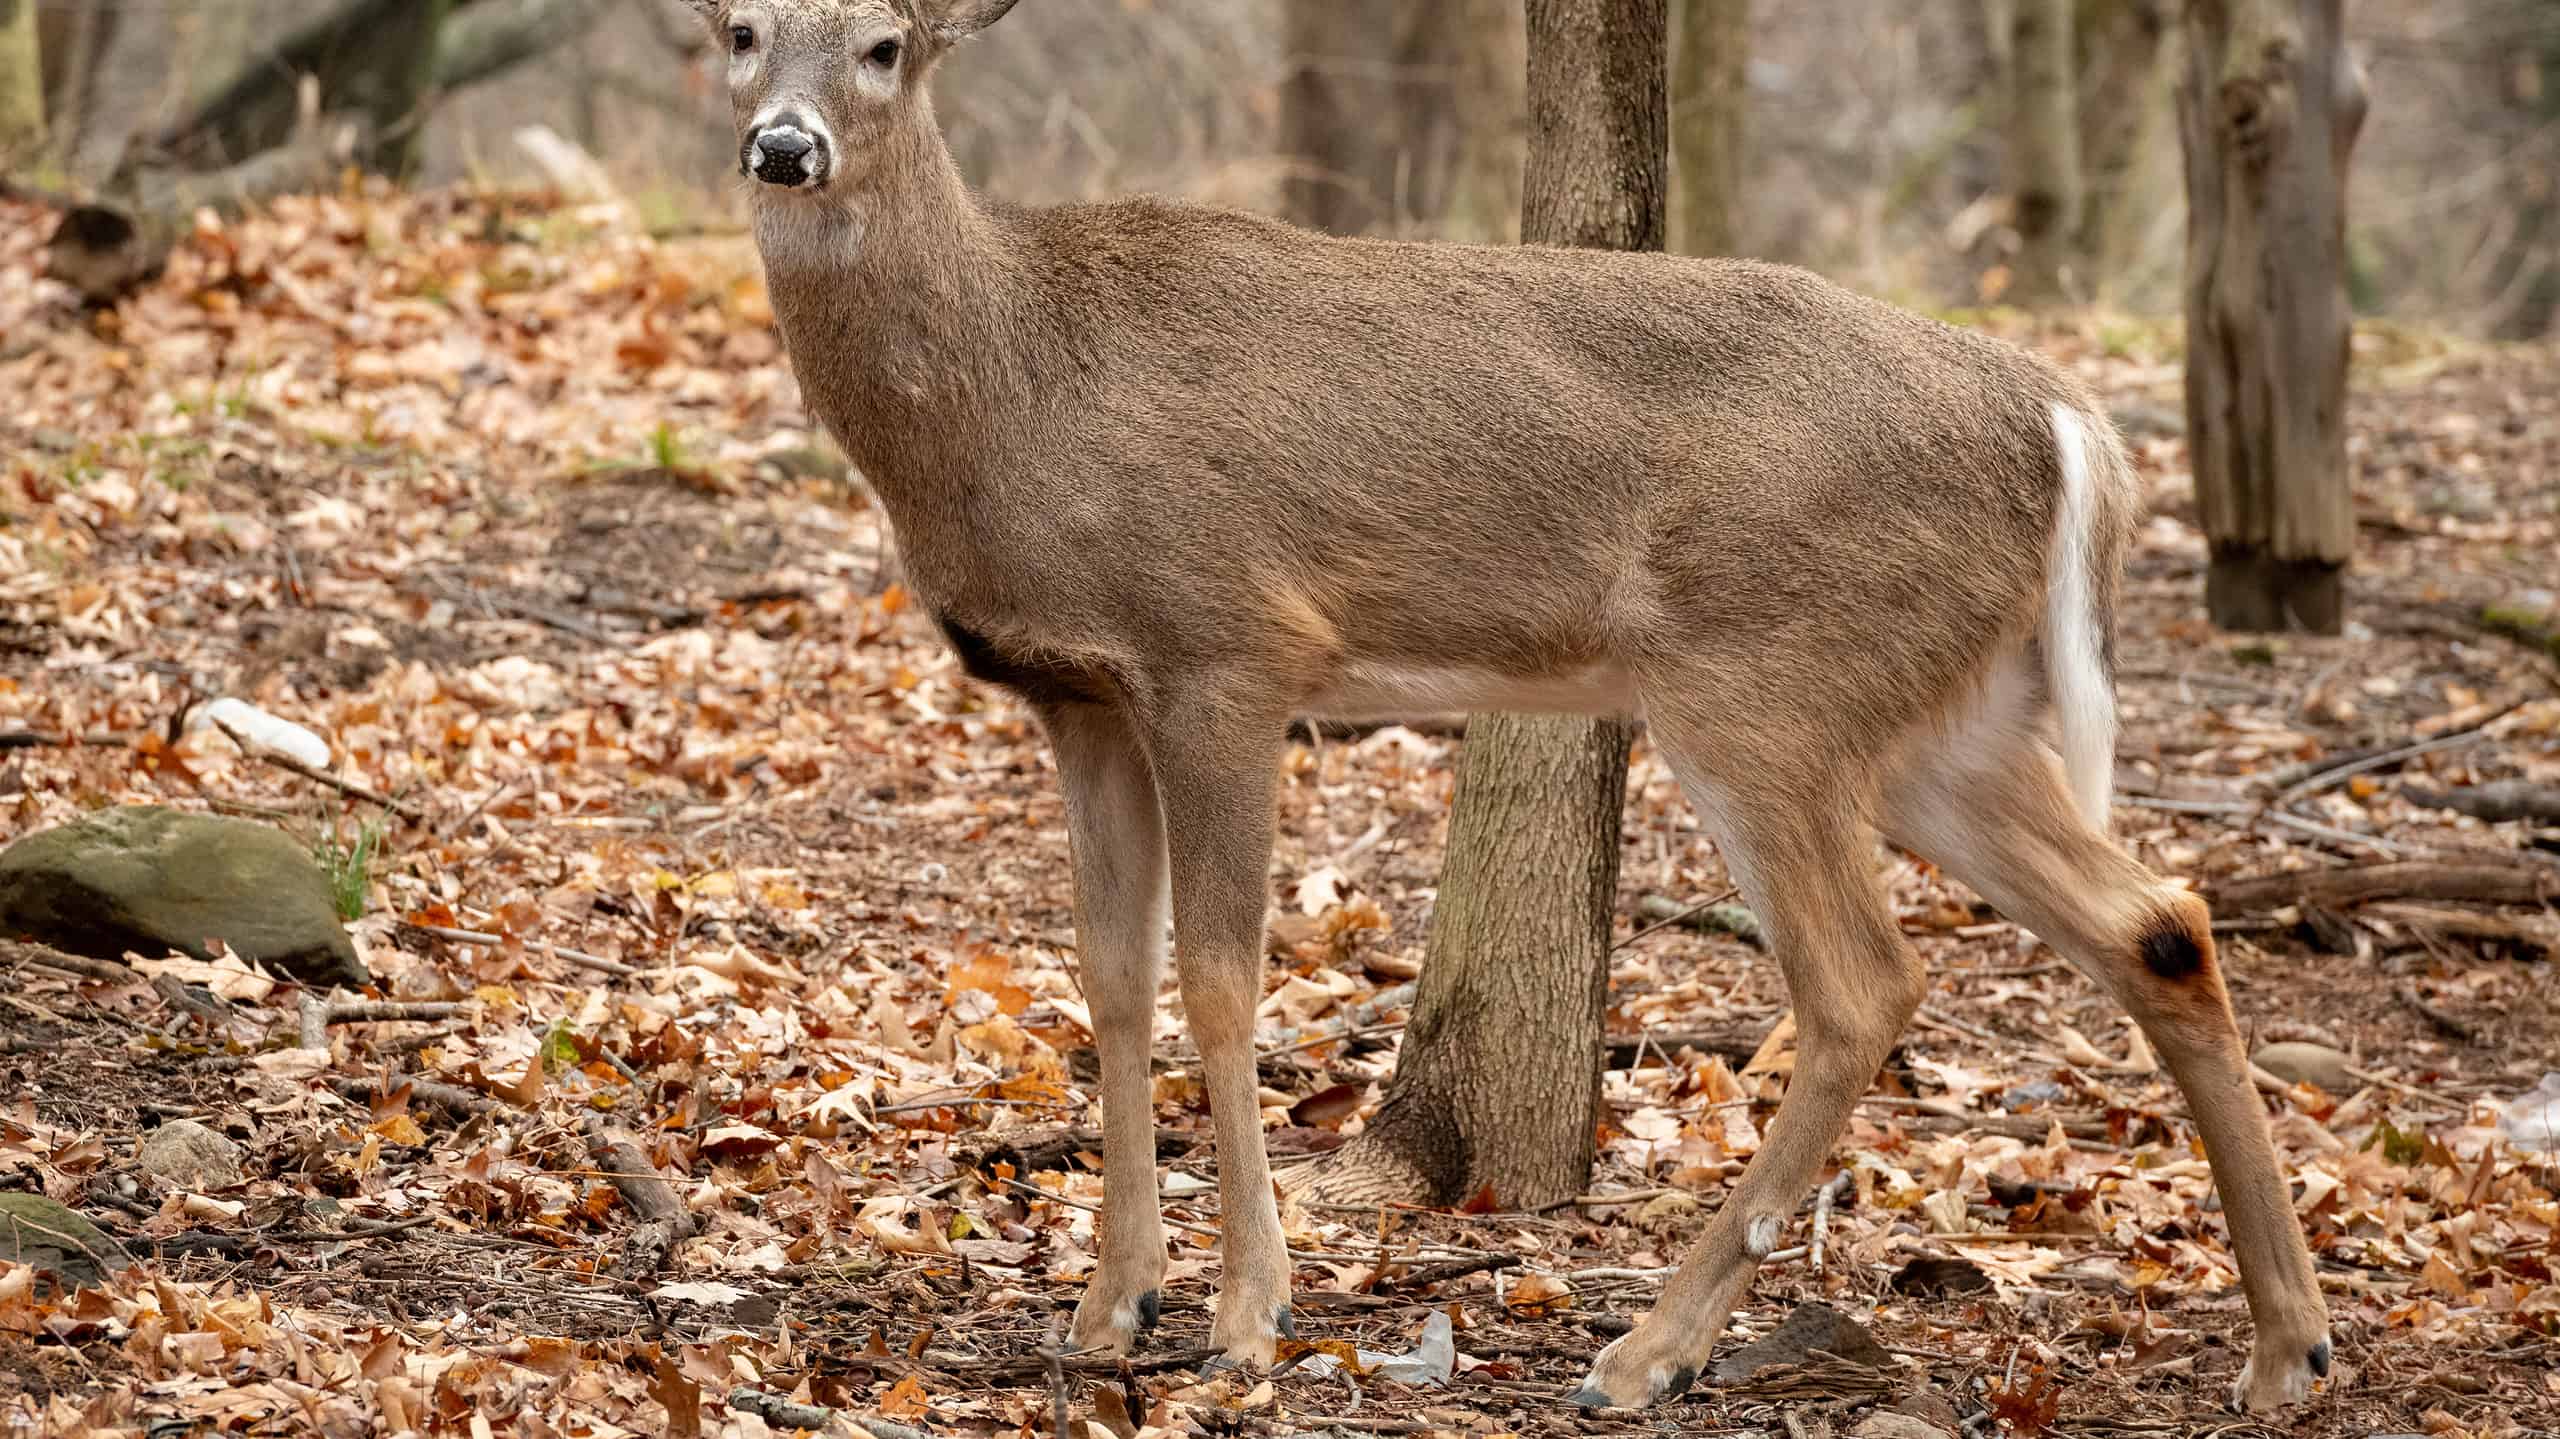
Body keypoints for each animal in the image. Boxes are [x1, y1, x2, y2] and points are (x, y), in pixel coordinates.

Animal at [680, 0, 2332, 1412]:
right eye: (740, 28)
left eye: (887, 43)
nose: (785, 145)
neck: (1013, 390)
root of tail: (2064, 422)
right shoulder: (1075, 694)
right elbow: (1110, 977)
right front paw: (1110, 1304)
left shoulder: (1229, 646)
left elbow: (1221, 974)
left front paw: (1248, 1313)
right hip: (1945, 717)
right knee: (2159, 919)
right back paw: (2288, 1346)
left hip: (1764, 682)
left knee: (1869, 981)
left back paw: (1647, 1351)